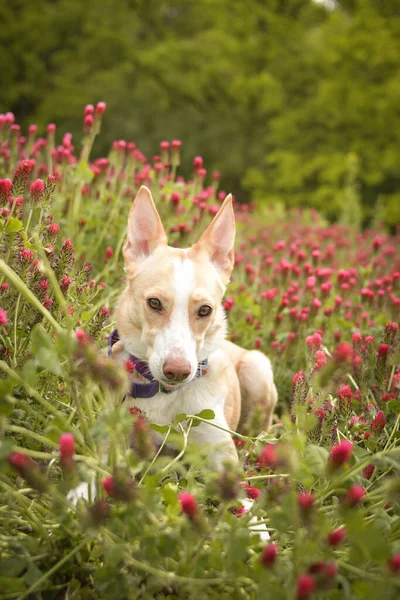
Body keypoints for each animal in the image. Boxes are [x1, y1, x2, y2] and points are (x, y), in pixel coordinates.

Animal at [109, 185, 278, 466]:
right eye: (154, 303)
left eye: (205, 310)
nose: (177, 371)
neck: (165, 394)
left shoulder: (222, 455)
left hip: (258, 367)